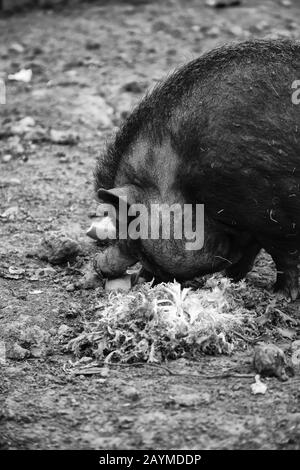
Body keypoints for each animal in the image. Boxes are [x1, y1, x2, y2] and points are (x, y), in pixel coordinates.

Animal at [95, 39, 300, 298]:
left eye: (131, 230)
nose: (98, 266)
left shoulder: (273, 213)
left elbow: (284, 257)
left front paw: (281, 295)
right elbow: (247, 254)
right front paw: (227, 281)